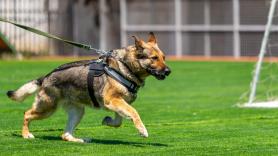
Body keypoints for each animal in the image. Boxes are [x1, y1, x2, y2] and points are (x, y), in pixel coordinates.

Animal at [6, 32, 170, 143]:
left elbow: (119, 121)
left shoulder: (118, 103)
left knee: (65, 135)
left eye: (163, 57)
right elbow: (134, 112)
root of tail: (46, 77)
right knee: (27, 114)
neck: (125, 66)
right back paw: (26, 134)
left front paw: (107, 121)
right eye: (154, 58)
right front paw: (142, 130)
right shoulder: (112, 100)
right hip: (47, 108)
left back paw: (80, 140)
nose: (169, 71)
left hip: (77, 112)